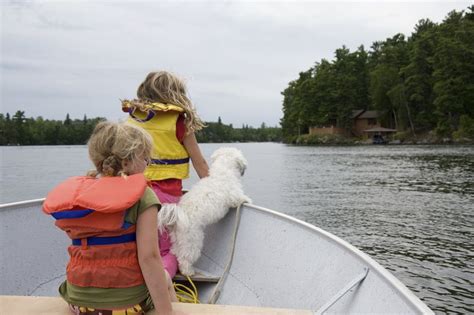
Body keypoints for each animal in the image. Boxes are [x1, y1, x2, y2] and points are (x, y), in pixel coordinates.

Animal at [157, 147, 250, 276]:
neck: (222, 173)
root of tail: (178, 215)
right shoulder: (234, 196)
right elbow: (241, 198)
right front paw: (248, 200)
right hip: (192, 240)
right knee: (185, 258)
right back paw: (188, 271)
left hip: (178, 239)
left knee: (175, 252)